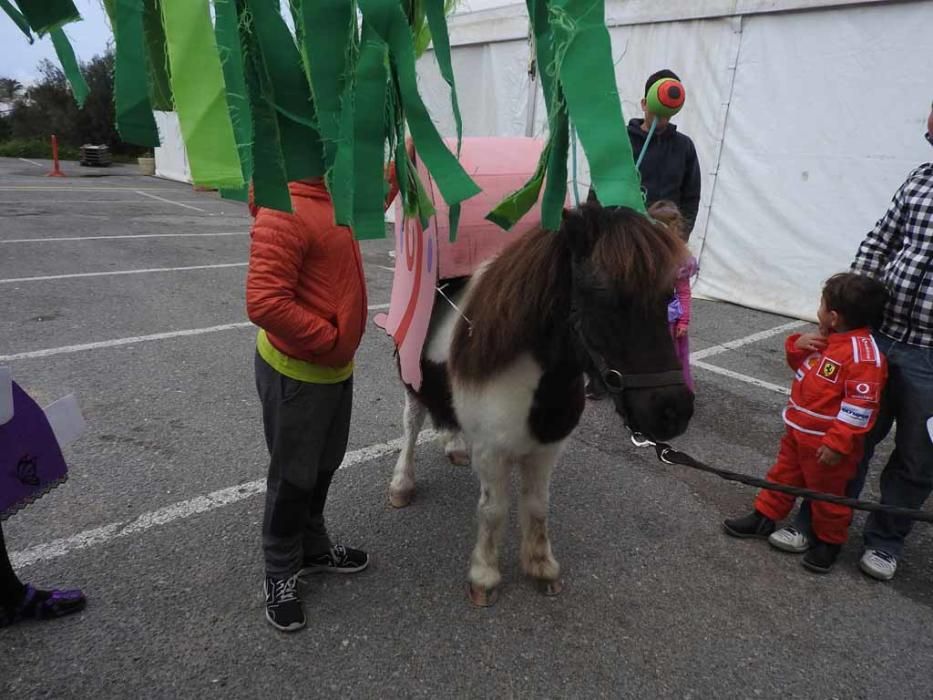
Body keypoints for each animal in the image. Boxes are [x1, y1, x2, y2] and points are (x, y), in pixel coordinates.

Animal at [386, 204, 692, 608]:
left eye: (667, 296)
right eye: (605, 296)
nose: (673, 412)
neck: (530, 375)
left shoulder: (546, 450)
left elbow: (537, 506)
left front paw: (541, 566)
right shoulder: (492, 454)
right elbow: (493, 510)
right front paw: (484, 576)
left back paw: (454, 446)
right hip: (412, 385)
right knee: (411, 424)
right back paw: (402, 484)